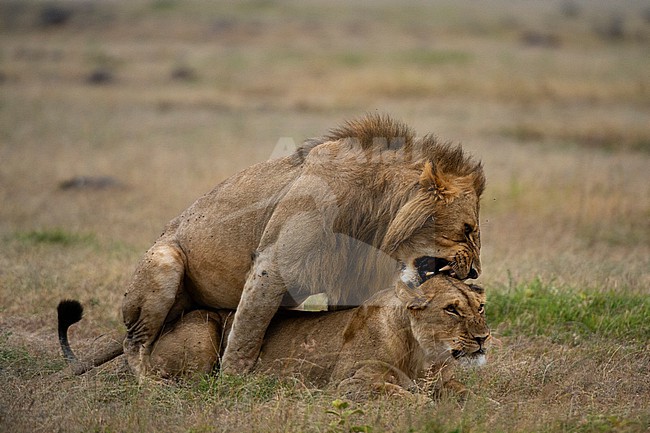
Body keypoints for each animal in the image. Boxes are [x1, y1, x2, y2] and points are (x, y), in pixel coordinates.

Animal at [58, 275, 489, 399]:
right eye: (452, 309)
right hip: (203, 329)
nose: (485, 338)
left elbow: (468, 394)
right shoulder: (348, 384)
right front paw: (426, 404)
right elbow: (406, 396)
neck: (424, 355)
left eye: (480, 307)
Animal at [119, 114, 485, 380]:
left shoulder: (349, 280)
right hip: (165, 262)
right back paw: (150, 383)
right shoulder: (272, 264)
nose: (476, 272)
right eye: (467, 230)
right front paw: (232, 384)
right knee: (133, 342)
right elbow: (247, 332)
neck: (373, 211)